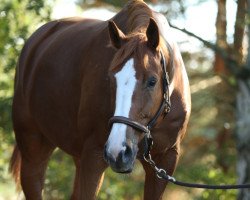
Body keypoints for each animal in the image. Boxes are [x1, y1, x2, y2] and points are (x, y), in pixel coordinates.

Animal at [9, 0, 189, 199]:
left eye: (152, 81)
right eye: (110, 78)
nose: (119, 151)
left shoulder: (165, 160)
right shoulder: (93, 156)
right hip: (34, 151)